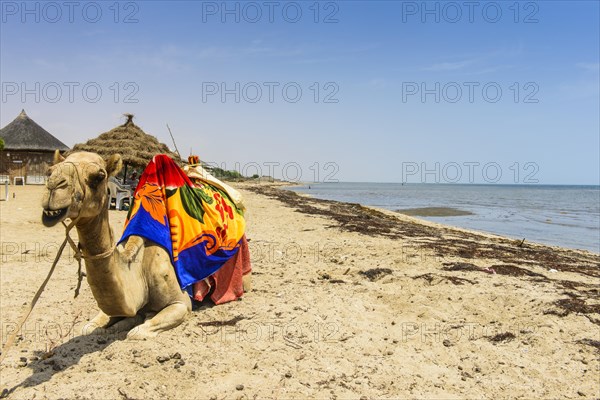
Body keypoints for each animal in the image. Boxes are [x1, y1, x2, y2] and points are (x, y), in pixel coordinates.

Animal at [42, 152, 197, 340]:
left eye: (99, 176)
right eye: (49, 171)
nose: (53, 185)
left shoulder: (182, 303)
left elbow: (136, 331)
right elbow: (91, 326)